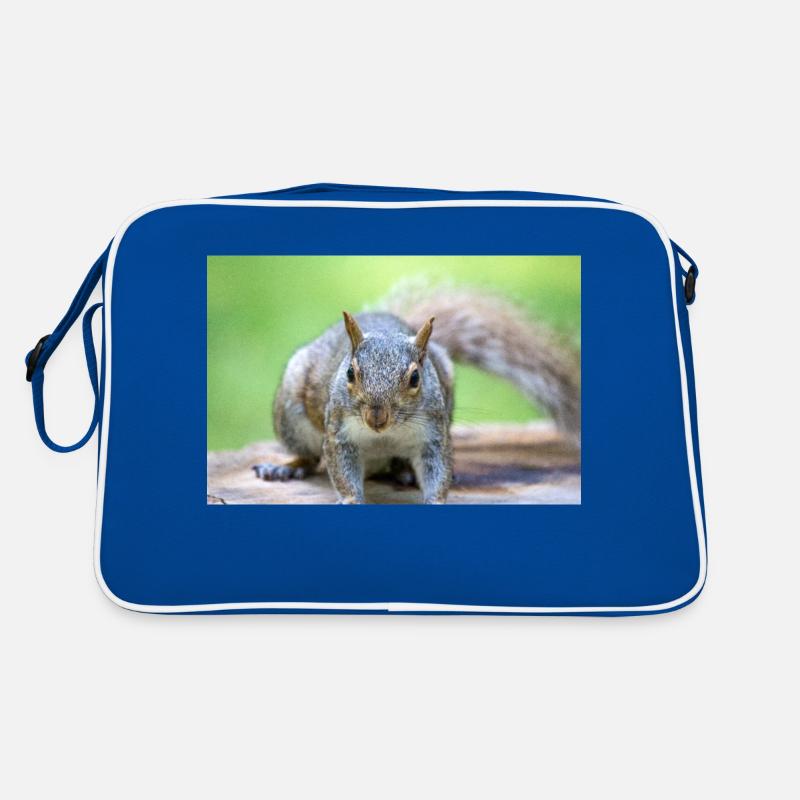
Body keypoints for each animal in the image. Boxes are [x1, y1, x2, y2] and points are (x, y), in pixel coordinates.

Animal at [253, 282, 580, 504]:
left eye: (414, 378)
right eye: (349, 374)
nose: (377, 418)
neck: (383, 436)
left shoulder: (433, 435)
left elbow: (436, 469)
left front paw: (436, 497)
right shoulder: (338, 432)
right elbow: (341, 470)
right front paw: (350, 499)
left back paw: (404, 471)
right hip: (291, 416)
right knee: (308, 456)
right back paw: (284, 468)